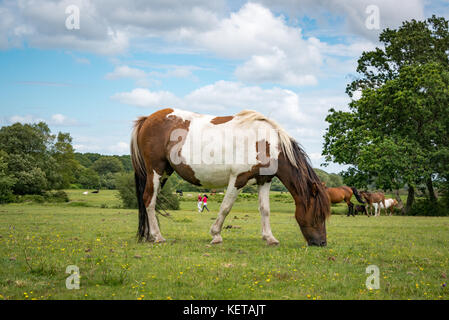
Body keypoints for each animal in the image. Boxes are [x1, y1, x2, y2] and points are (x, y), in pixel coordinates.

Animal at [130, 109, 328, 246]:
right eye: (318, 214)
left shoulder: (264, 181)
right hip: (156, 171)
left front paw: (270, 238)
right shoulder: (238, 179)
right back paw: (158, 237)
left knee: (150, 200)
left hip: (164, 173)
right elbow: (225, 207)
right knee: (149, 200)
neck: (266, 142)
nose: (322, 243)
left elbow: (265, 209)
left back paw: (149, 235)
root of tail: (148, 119)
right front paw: (216, 235)